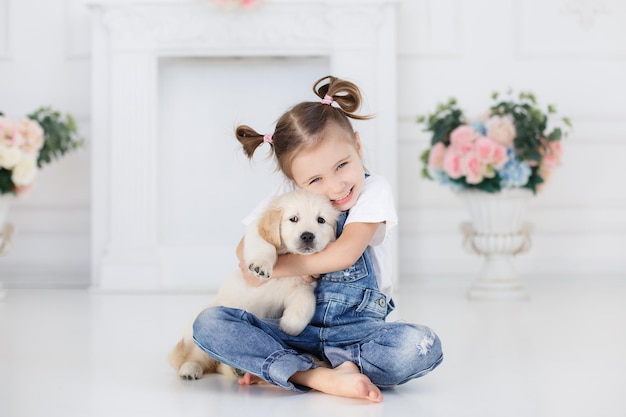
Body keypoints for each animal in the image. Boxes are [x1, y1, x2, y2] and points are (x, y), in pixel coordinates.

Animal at [168, 190, 338, 378]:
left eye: (321, 220)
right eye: (293, 219)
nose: (307, 236)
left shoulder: (302, 286)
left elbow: (306, 299)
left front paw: (290, 325)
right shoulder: (256, 234)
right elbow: (264, 245)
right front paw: (260, 266)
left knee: (218, 364)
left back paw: (237, 370)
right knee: (198, 355)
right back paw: (190, 369)